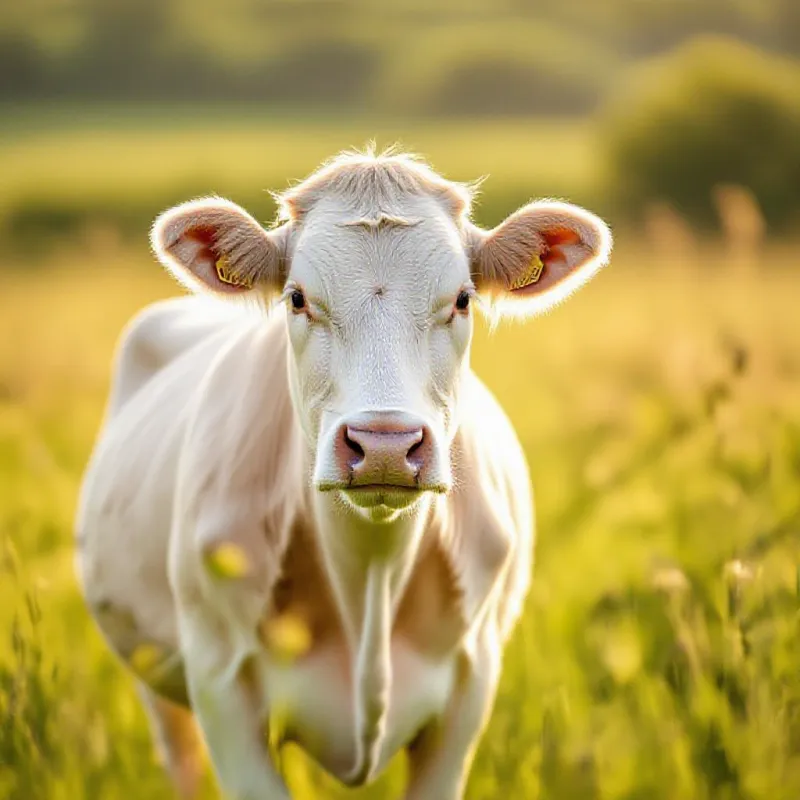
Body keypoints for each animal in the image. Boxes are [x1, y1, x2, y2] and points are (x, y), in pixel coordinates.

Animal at [75, 148, 612, 800]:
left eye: (462, 298)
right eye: (297, 298)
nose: (384, 445)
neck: (369, 583)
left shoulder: (471, 685)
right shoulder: (220, 685)